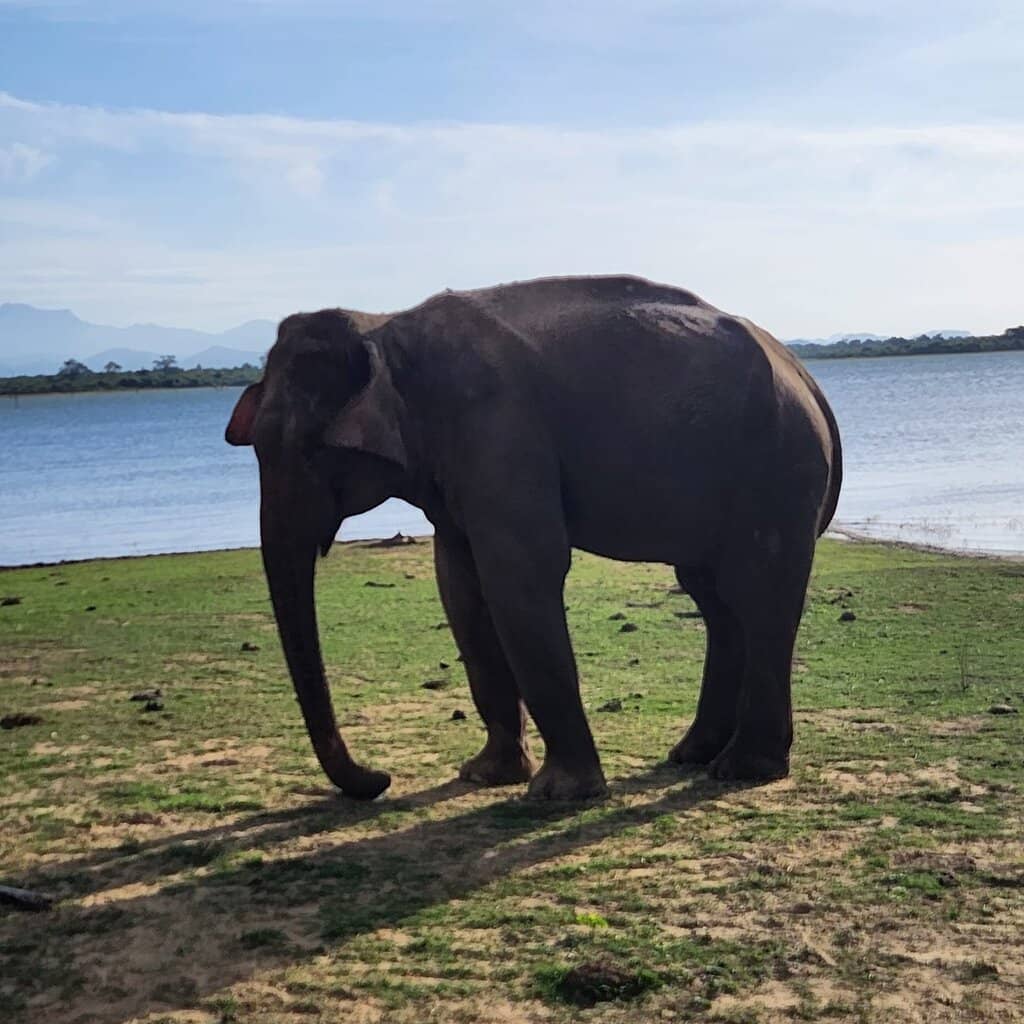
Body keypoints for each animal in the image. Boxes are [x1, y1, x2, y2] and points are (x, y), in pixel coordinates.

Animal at [225, 275, 842, 802]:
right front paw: (482, 776)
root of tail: (808, 378)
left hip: (778, 468)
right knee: (713, 598)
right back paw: (692, 754)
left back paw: (742, 770)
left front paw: (557, 794)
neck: (384, 326)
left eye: (310, 450)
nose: (381, 779)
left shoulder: (500, 430)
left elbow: (520, 577)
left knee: (756, 594)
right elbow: (460, 589)